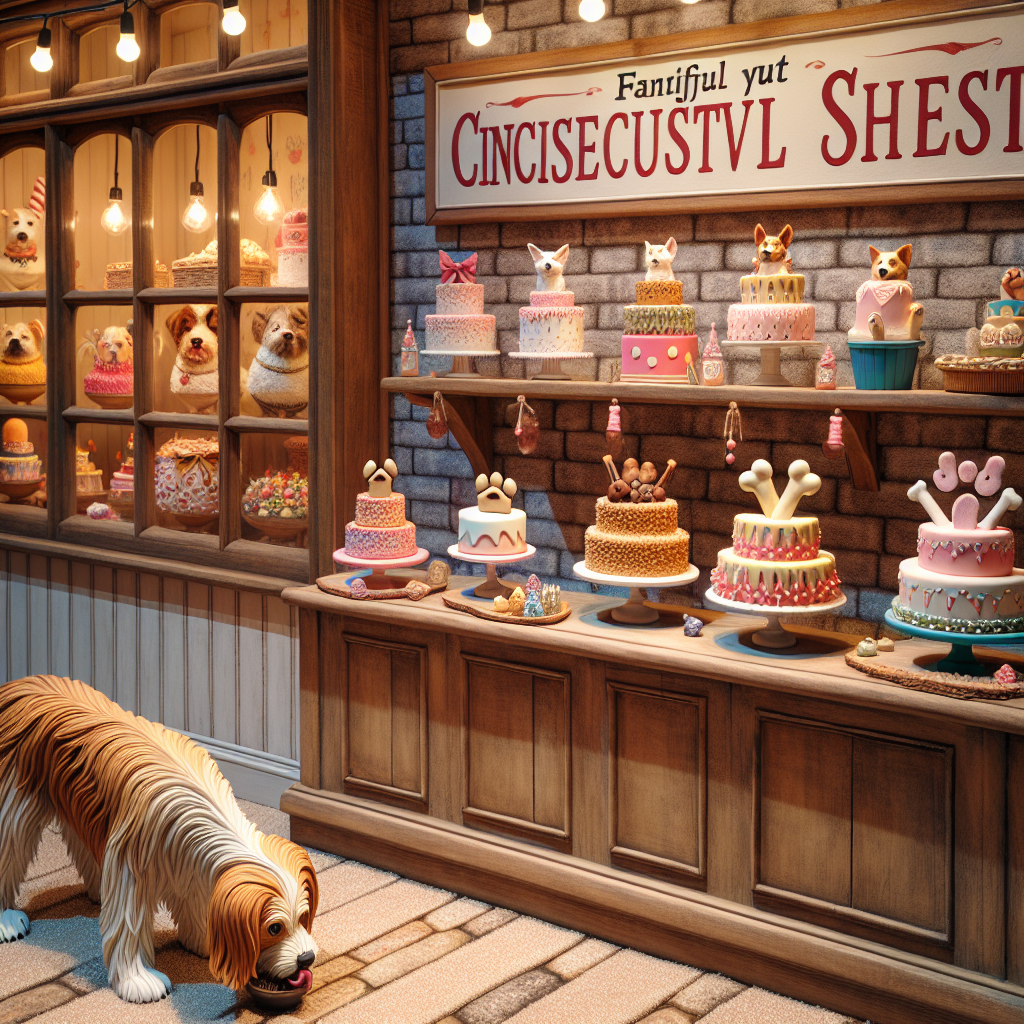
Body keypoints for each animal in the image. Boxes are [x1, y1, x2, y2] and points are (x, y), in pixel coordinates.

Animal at [0, 675, 317, 1003]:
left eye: (304, 915)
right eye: (274, 928)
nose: (306, 959)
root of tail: (20, 683)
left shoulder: (191, 867)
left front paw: (205, 940)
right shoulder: (130, 864)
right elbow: (126, 925)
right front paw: (137, 980)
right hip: (14, 803)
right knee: (8, 848)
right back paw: (6, 921)